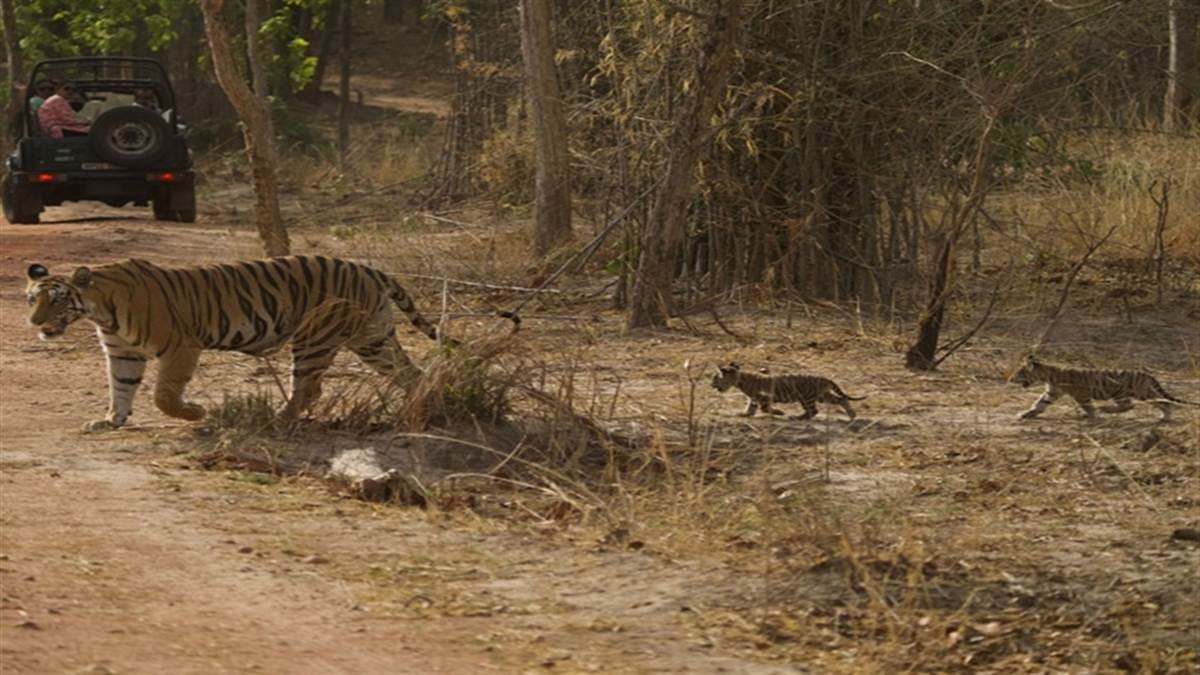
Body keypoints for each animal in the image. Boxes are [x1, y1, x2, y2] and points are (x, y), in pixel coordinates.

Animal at [25, 255, 510, 430]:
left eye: (56, 301)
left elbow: (164, 394)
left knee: (309, 388)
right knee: (412, 372)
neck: (99, 309)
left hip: (316, 337)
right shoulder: (122, 352)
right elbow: (121, 388)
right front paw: (111, 420)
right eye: (33, 299)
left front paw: (195, 414)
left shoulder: (182, 346)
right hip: (374, 339)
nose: (34, 323)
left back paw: (278, 418)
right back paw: (420, 410)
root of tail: (368, 267)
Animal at [710, 362, 865, 420]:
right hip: (821, 396)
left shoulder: (763, 396)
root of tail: (824, 378)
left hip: (807, 397)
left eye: (715, 378)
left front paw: (779, 412)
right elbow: (751, 408)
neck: (739, 379)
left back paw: (796, 417)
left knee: (813, 411)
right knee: (841, 399)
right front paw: (743, 414)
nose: (710, 385)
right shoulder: (753, 398)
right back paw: (852, 414)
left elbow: (764, 408)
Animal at [1009, 355, 1198, 421]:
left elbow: (1087, 406)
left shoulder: (1081, 394)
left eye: (1019, 372)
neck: (1047, 374)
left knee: (1131, 405)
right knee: (1163, 403)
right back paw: (1165, 417)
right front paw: (1026, 414)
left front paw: (1091, 415)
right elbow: (1039, 404)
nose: (1009, 379)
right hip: (1139, 392)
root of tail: (1146, 374)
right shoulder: (1051, 392)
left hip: (1129, 392)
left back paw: (1105, 409)